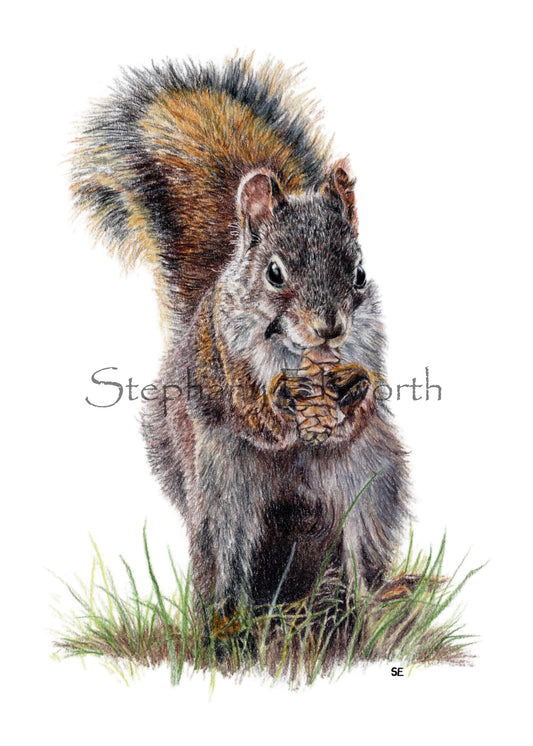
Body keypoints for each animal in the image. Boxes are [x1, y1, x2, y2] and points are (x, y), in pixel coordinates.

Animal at [71, 55, 410, 616]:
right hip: (221, 491)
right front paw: (282, 400)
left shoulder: (369, 343)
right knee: (224, 554)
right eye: (274, 273)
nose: (330, 328)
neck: (299, 353)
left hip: (371, 484)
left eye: (360, 273)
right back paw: (226, 615)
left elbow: (365, 399)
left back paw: (372, 597)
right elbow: (252, 414)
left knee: (360, 546)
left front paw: (353, 392)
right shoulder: (225, 355)